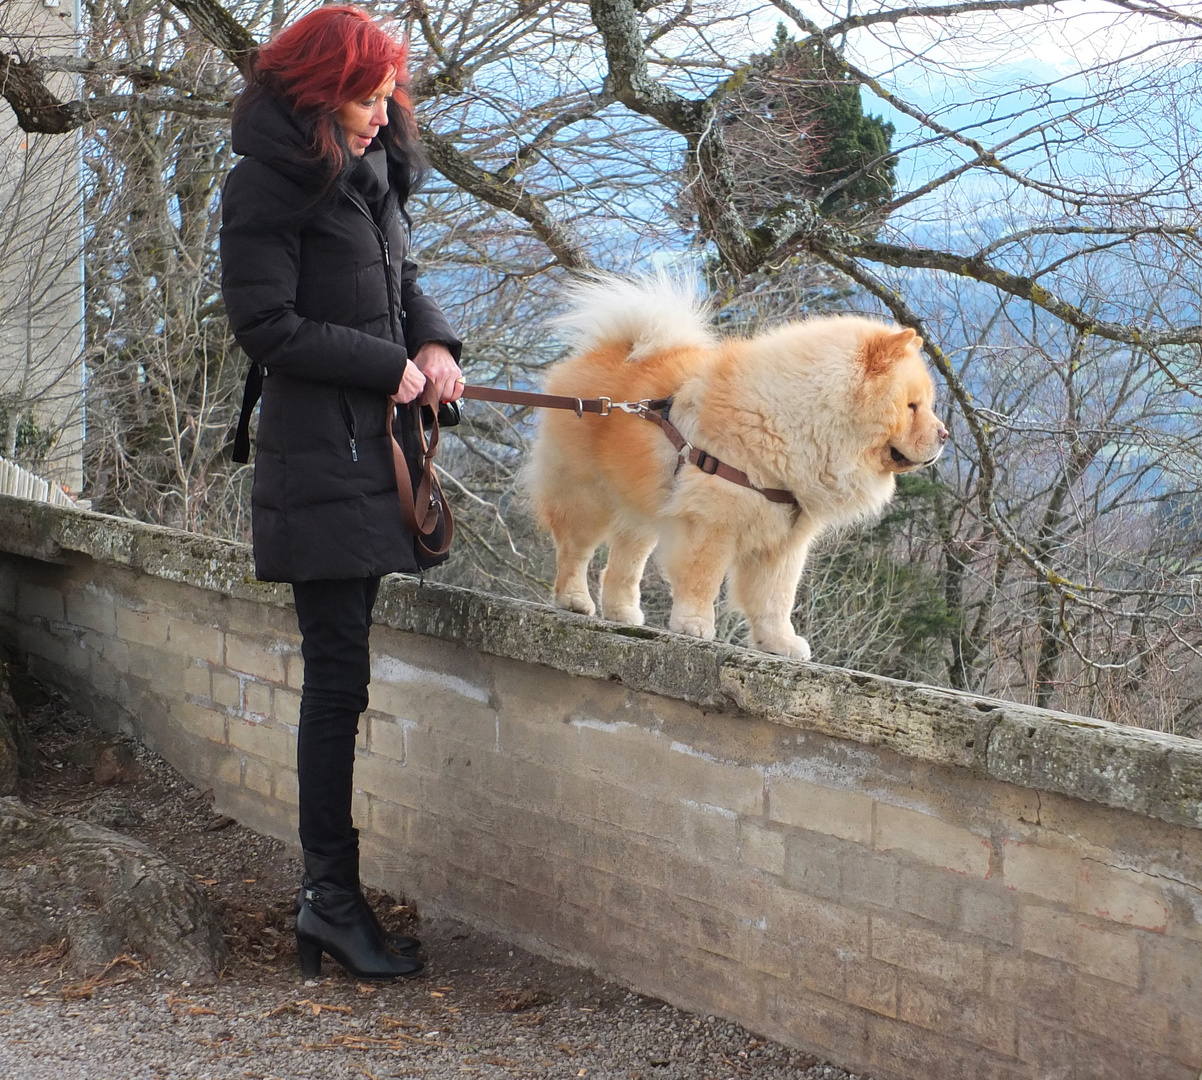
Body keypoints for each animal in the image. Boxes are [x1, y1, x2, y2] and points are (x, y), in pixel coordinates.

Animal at [526, 275, 947, 658]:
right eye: (912, 407)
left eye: (927, 405)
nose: (943, 434)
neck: (799, 422)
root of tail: (610, 349)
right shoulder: (714, 521)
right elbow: (704, 579)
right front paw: (695, 626)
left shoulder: (784, 542)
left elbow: (775, 598)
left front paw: (780, 644)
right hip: (587, 496)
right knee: (575, 551)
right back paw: (575, 600)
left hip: (643, 507)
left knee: (623, 565)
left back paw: (623, 614)